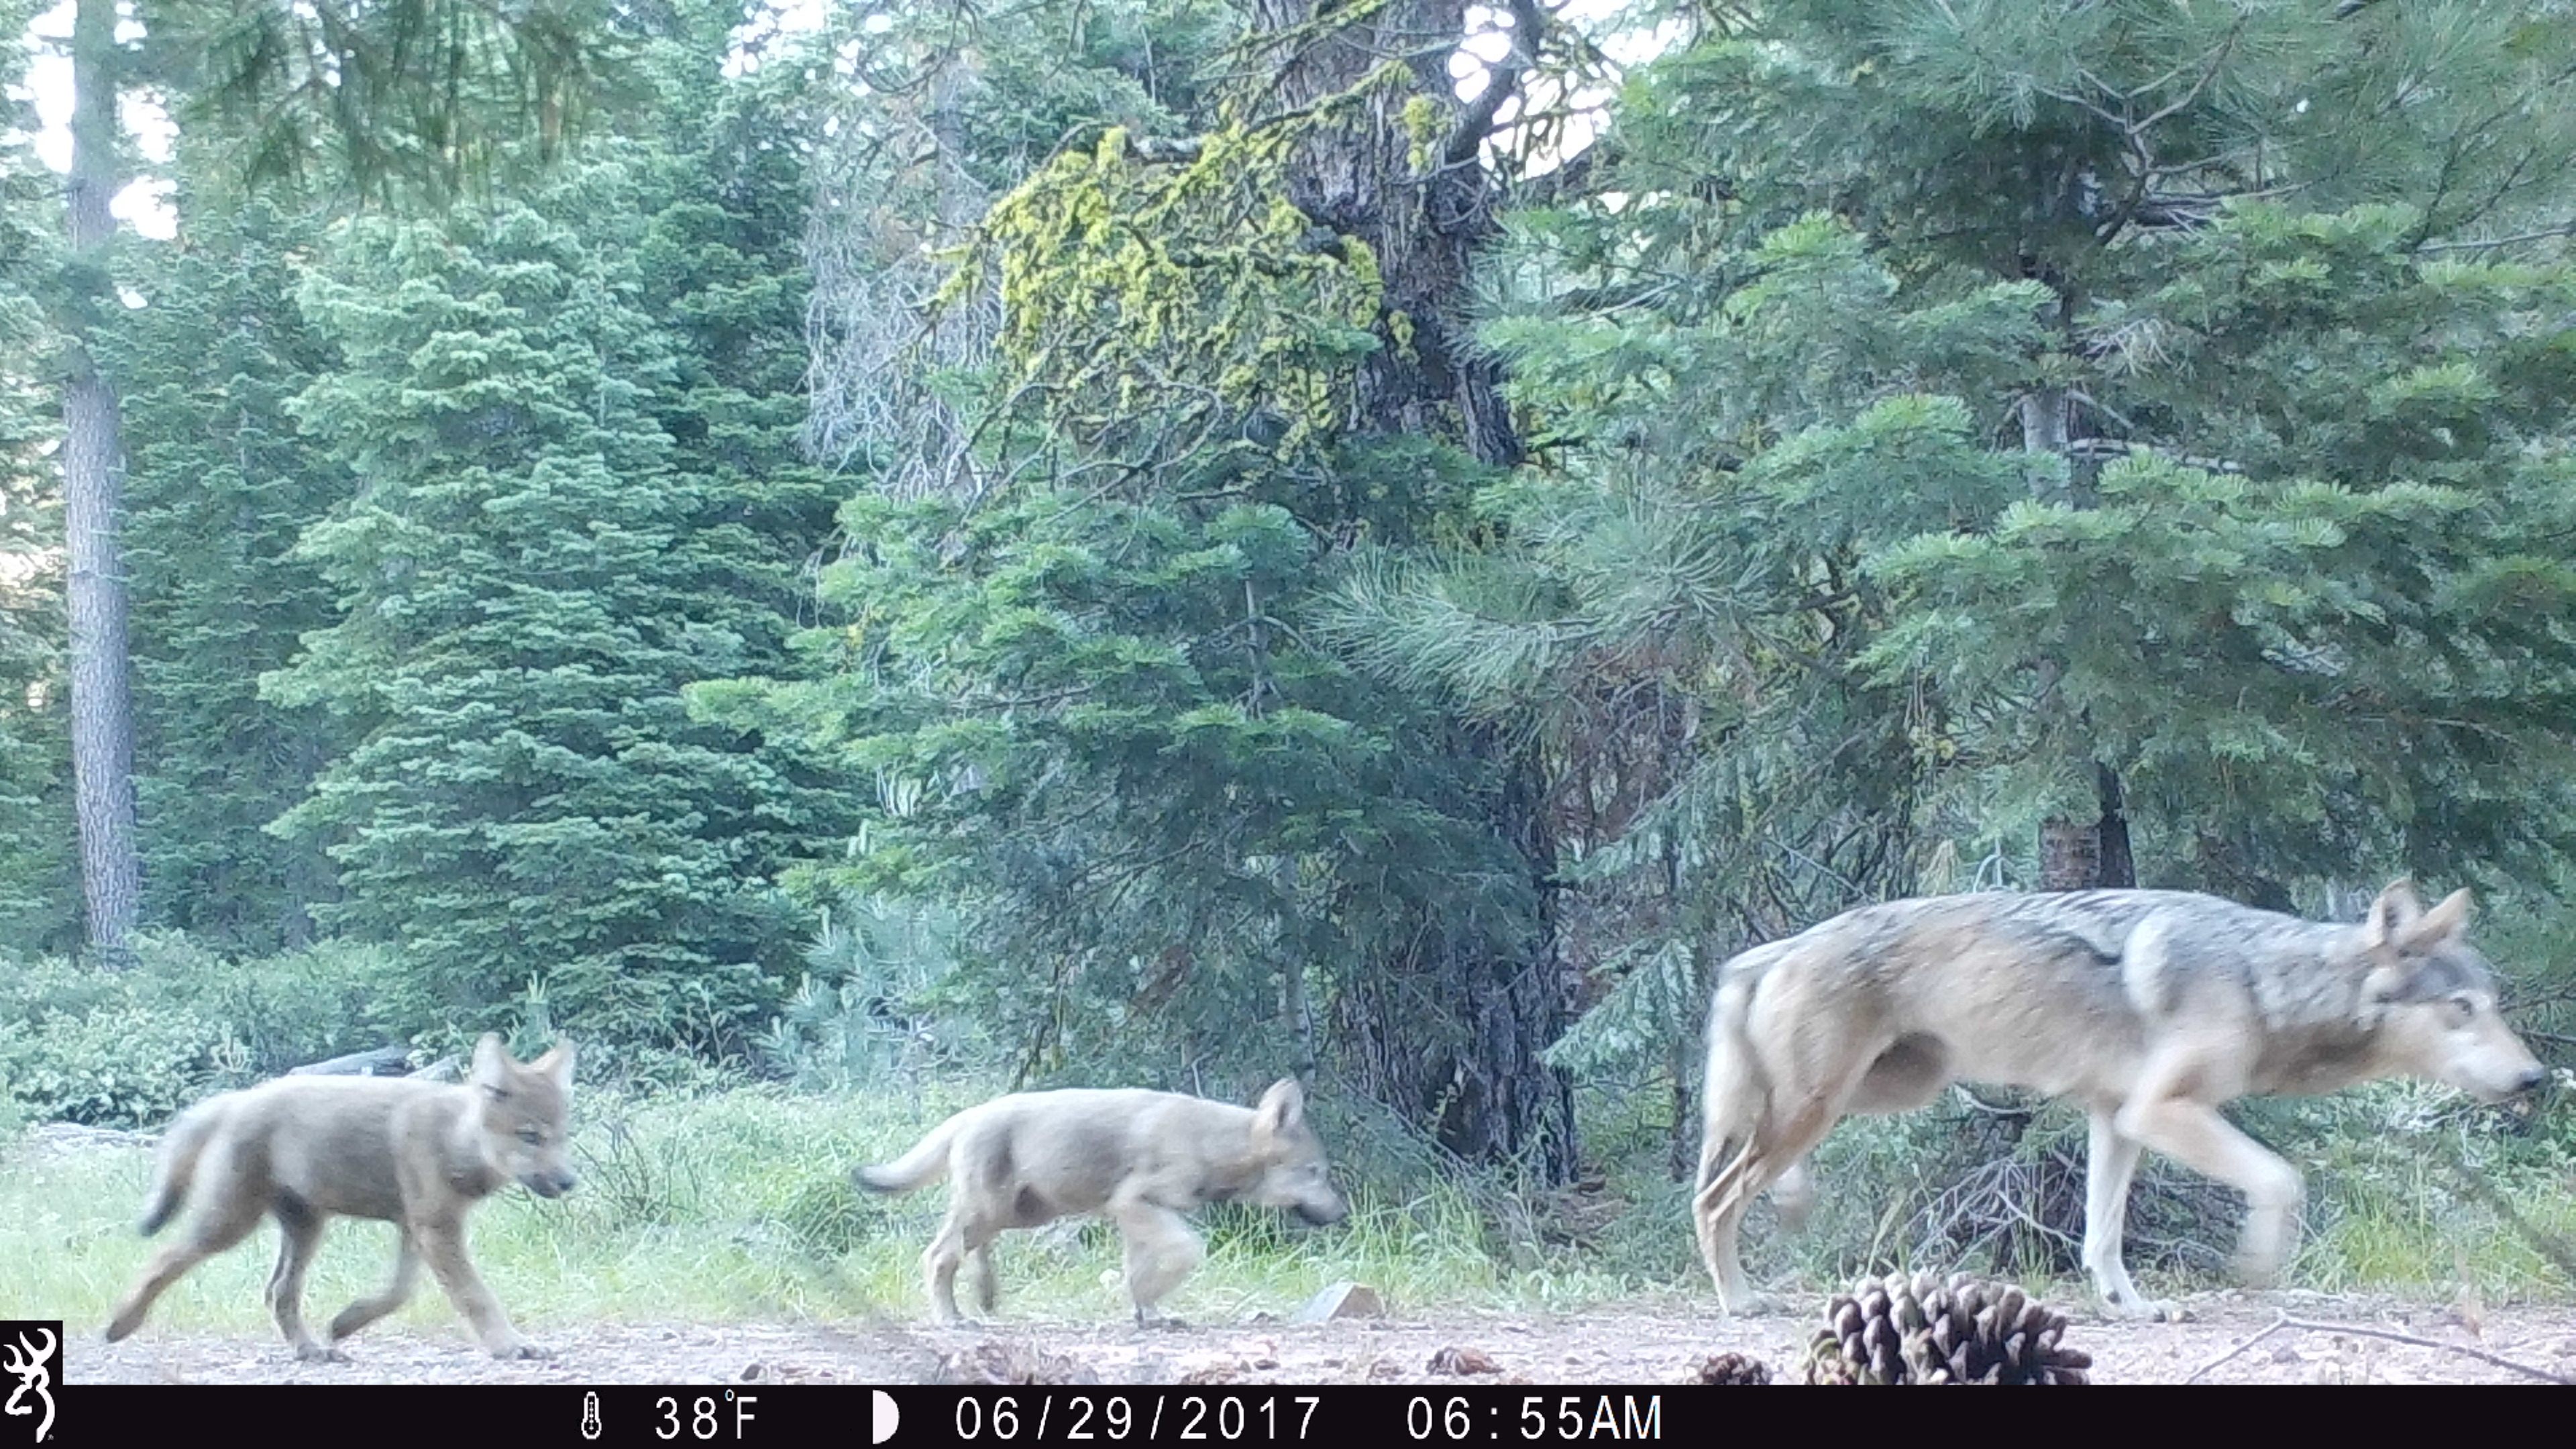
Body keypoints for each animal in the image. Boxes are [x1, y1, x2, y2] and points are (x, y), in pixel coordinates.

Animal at [101, 1031, 580, 1361]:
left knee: (278, 1292)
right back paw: (120, 1324)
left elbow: (398, 1293)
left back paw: (312, 1350)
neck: (453, 1138)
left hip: (306, 1229)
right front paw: (511, 1345)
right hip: (228, 1225)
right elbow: (476, 1296)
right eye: (531, 1137)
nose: (570, 1181)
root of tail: (236, 1099)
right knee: (163, 1258)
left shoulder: (415, 1228)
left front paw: (347, 1323)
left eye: (561, 1137)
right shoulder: (435, 1228)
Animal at [860, 1072, 1350, 1320]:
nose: (1344, 1214)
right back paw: (952, 1318)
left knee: (971, 1252)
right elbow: (1186, 1250)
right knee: (938, 1256)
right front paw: (1148, 1304)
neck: (1211, 1144)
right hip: (991, 1211)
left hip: (1017, 1214)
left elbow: (1138, 1272)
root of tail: (967, 1114)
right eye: (1316, 1173)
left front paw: (1148, 1313)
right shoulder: (1134, 1203)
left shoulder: (1135, 1217)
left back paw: (986, 1300)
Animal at [1690, 876, 2555, 1315]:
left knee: (1751, 1172)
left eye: (2496, 1004)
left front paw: (2128, 1306)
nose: (2536, 1079)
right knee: (1716, 1198)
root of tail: (1773, 949)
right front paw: (2256, 1267)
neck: (2265, 983)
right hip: (1821, 1106)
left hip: (1884, 1093)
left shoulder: (2116, 1118)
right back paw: (1740, 1299)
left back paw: (1791, 1207)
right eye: (2460, 1009)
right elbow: (2283, 1179)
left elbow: (2101, 1236)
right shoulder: (2161, 1111)